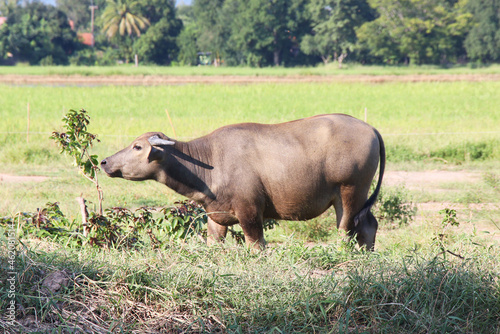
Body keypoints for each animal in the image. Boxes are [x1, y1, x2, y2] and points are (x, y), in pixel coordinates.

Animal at [99, 113, 384, 249]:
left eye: (137, 147)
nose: (104, 162)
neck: (211, 163)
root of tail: (370, 128)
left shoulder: (250, 212)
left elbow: (256, 245)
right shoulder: (216, 217)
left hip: (350, 192)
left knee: (347, 230)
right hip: (350, 198)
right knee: (368, 225)